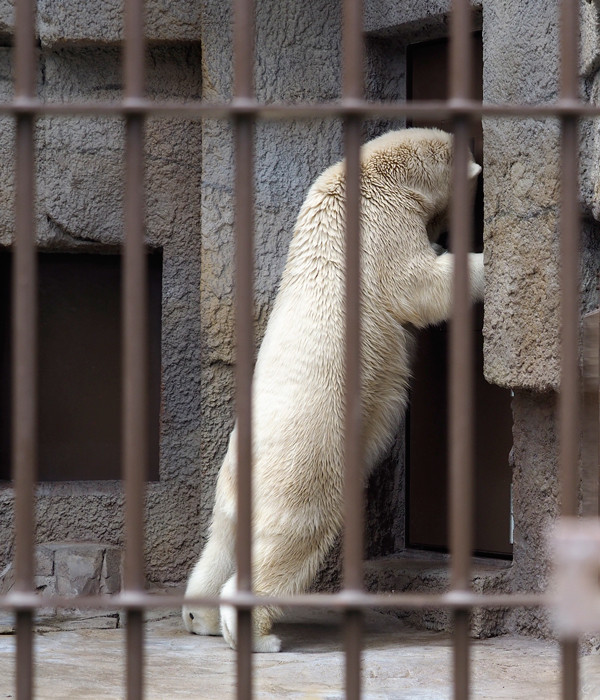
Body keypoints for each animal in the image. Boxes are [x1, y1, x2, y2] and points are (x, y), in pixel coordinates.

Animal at [182, 127, 482, 652]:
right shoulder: (382, 224)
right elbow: (421, 284)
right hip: (305, 464)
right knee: (291, 538)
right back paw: (258, 636)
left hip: (230, 488)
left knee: (221, 542)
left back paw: (200, 616)